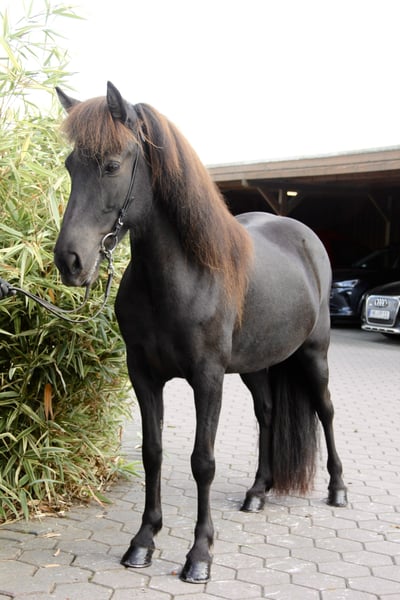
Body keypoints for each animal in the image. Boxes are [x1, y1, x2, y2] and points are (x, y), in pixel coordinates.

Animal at [54, 82, 347, 583]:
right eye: (72, 165)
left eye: (111, 164)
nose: (70, 261)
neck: (182, 277)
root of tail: (306, 237)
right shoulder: (144, 376)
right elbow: (152, 452)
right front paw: (143, 541)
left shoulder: (208, 379)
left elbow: (202, 462)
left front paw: (199, 554)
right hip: (256, 366)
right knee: (267, 415)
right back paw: (258, 492)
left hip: (315, 354)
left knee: (325, 412)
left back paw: (338, 488)